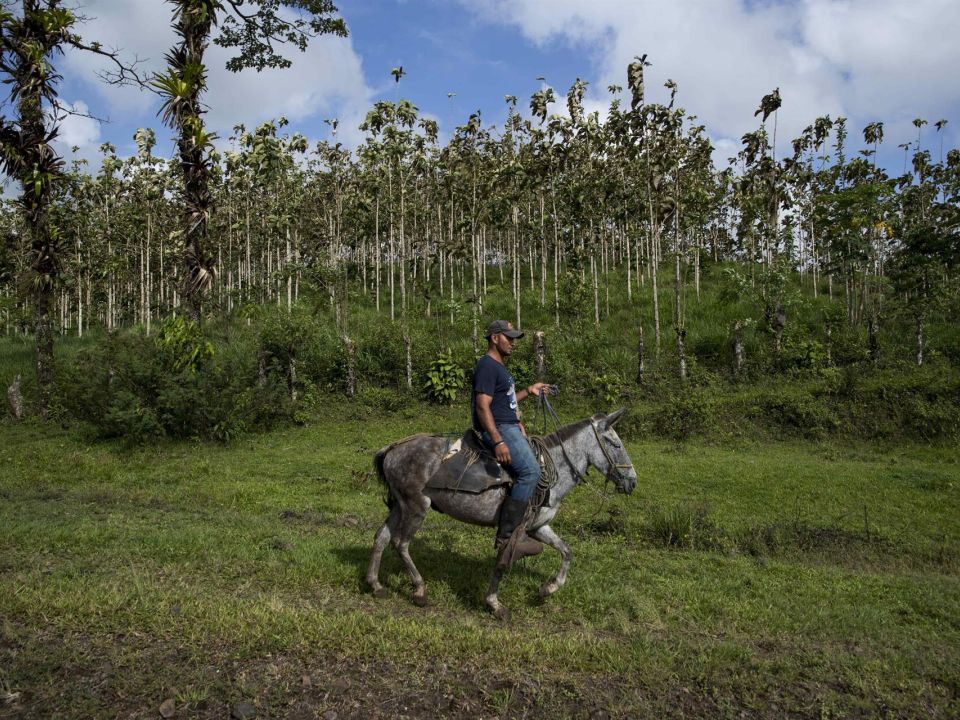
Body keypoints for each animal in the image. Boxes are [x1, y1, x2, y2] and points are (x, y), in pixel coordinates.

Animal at [368, 410, 636, 620]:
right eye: (616, 444)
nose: (632, 481)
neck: (553, 469)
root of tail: (392, 449)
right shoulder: (515, 528)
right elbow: (501, 564)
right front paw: (494, 604)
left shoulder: (538, 528)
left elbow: (566, 551)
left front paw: (548, 589)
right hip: (416, 506)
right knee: (400, 543)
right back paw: (419, 590)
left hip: (399, 505)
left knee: (381, 537)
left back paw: (375, 585)